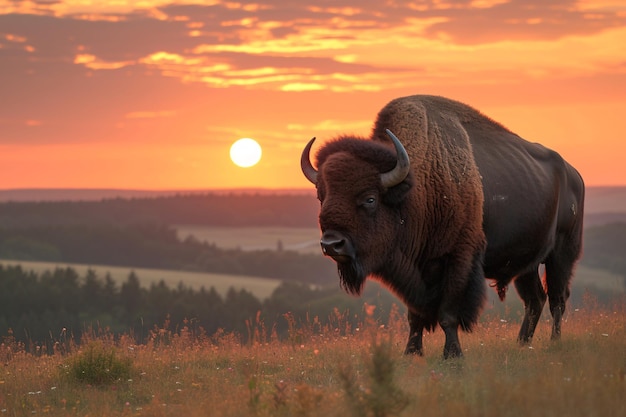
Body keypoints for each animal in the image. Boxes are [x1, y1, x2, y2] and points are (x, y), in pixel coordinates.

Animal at [300, 95, 584, 358]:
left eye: (370, 198)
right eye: (321, 196)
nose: (331, 244)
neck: (417, 190)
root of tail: (574, 174)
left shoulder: (459, 259)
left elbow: (449, 314)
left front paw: (453, 355)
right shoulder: (417, 269)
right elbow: (414, 316)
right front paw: (412, 353)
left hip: (561, 254)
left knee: (557, 299)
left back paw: (554, 343)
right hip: (527, 264)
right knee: (535, 300)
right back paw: (522, 343)